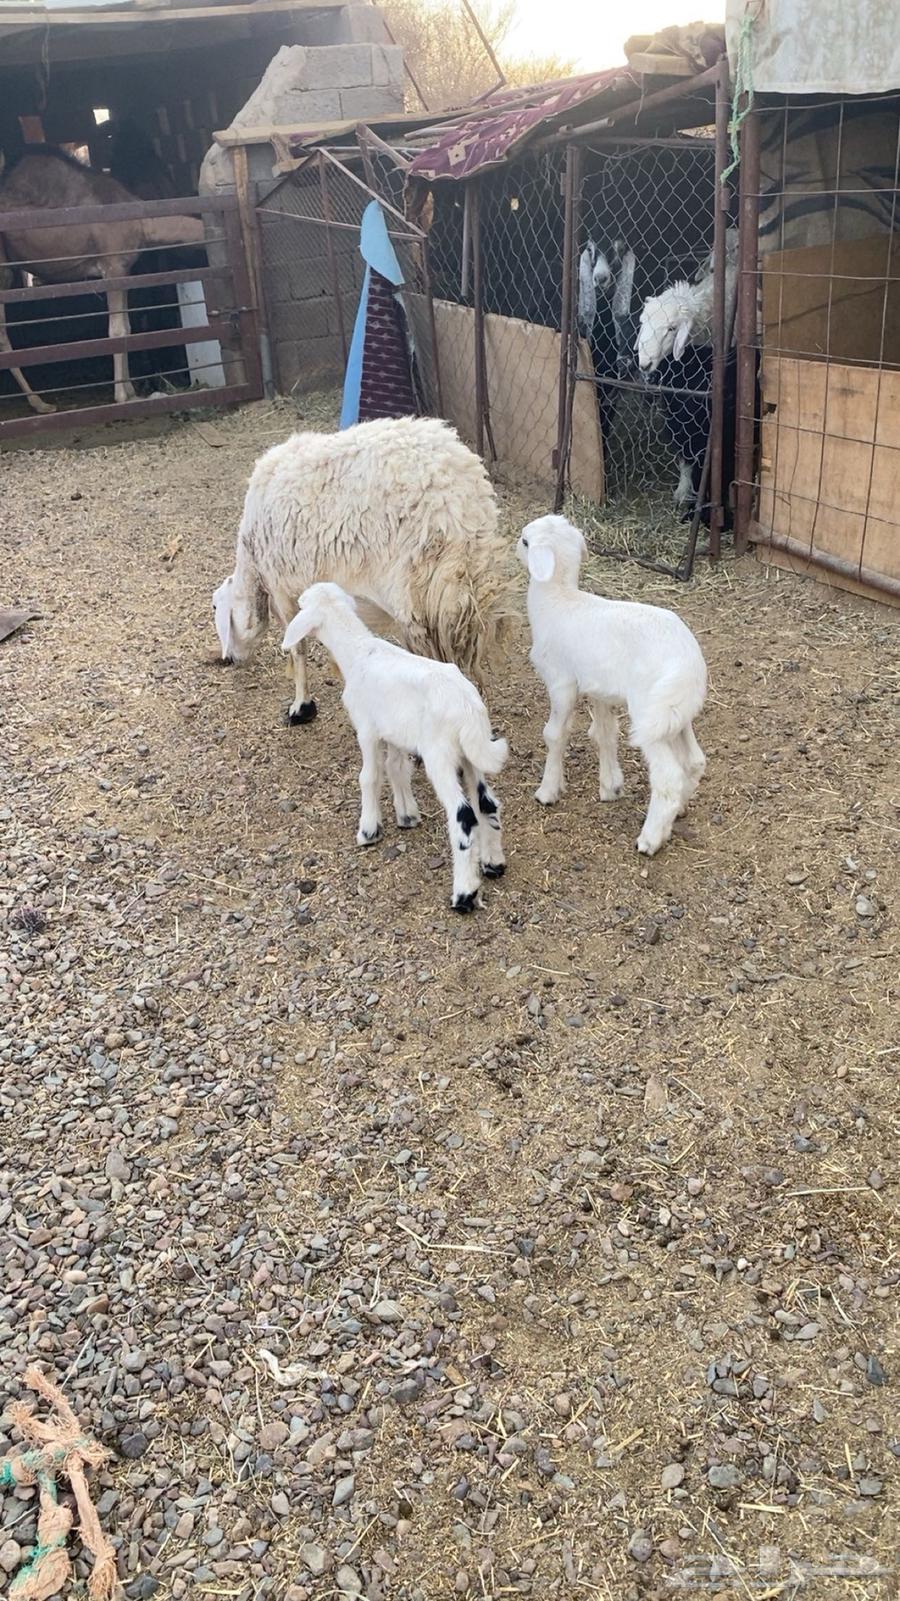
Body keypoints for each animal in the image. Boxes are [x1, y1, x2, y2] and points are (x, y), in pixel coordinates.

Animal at [212, 416, 514, 726]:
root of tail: (460, 504)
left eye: (217, 609)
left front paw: (301, 707)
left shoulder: (283, 588)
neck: (252, 561)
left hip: (418, 596)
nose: (229, 659)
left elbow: (298, 649)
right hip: (450, 597)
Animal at [281, 583, 508, 912]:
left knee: (463, 815)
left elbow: (370, 777)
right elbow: (397, 769)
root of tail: (468, 706)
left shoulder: (367, 729)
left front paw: (368, 830)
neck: (358, 651)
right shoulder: (395, 733)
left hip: (440, 755)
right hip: (472, 753)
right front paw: (407, 816)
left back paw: (464, 894)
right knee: (487, 802)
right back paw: (493, 864)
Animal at [517, 514, 707, 857]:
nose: (515, 546)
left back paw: (650, 839)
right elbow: (604, 734)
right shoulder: (599, 690)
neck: (558, 600)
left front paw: (547, 790)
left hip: (650, 714)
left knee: (668, 776)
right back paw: (677, 812)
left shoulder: (561, 682)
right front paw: (610, 786)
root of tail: (690, 666)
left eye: (525, 542)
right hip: (674, 712)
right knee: (694, 761)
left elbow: (554, 734)